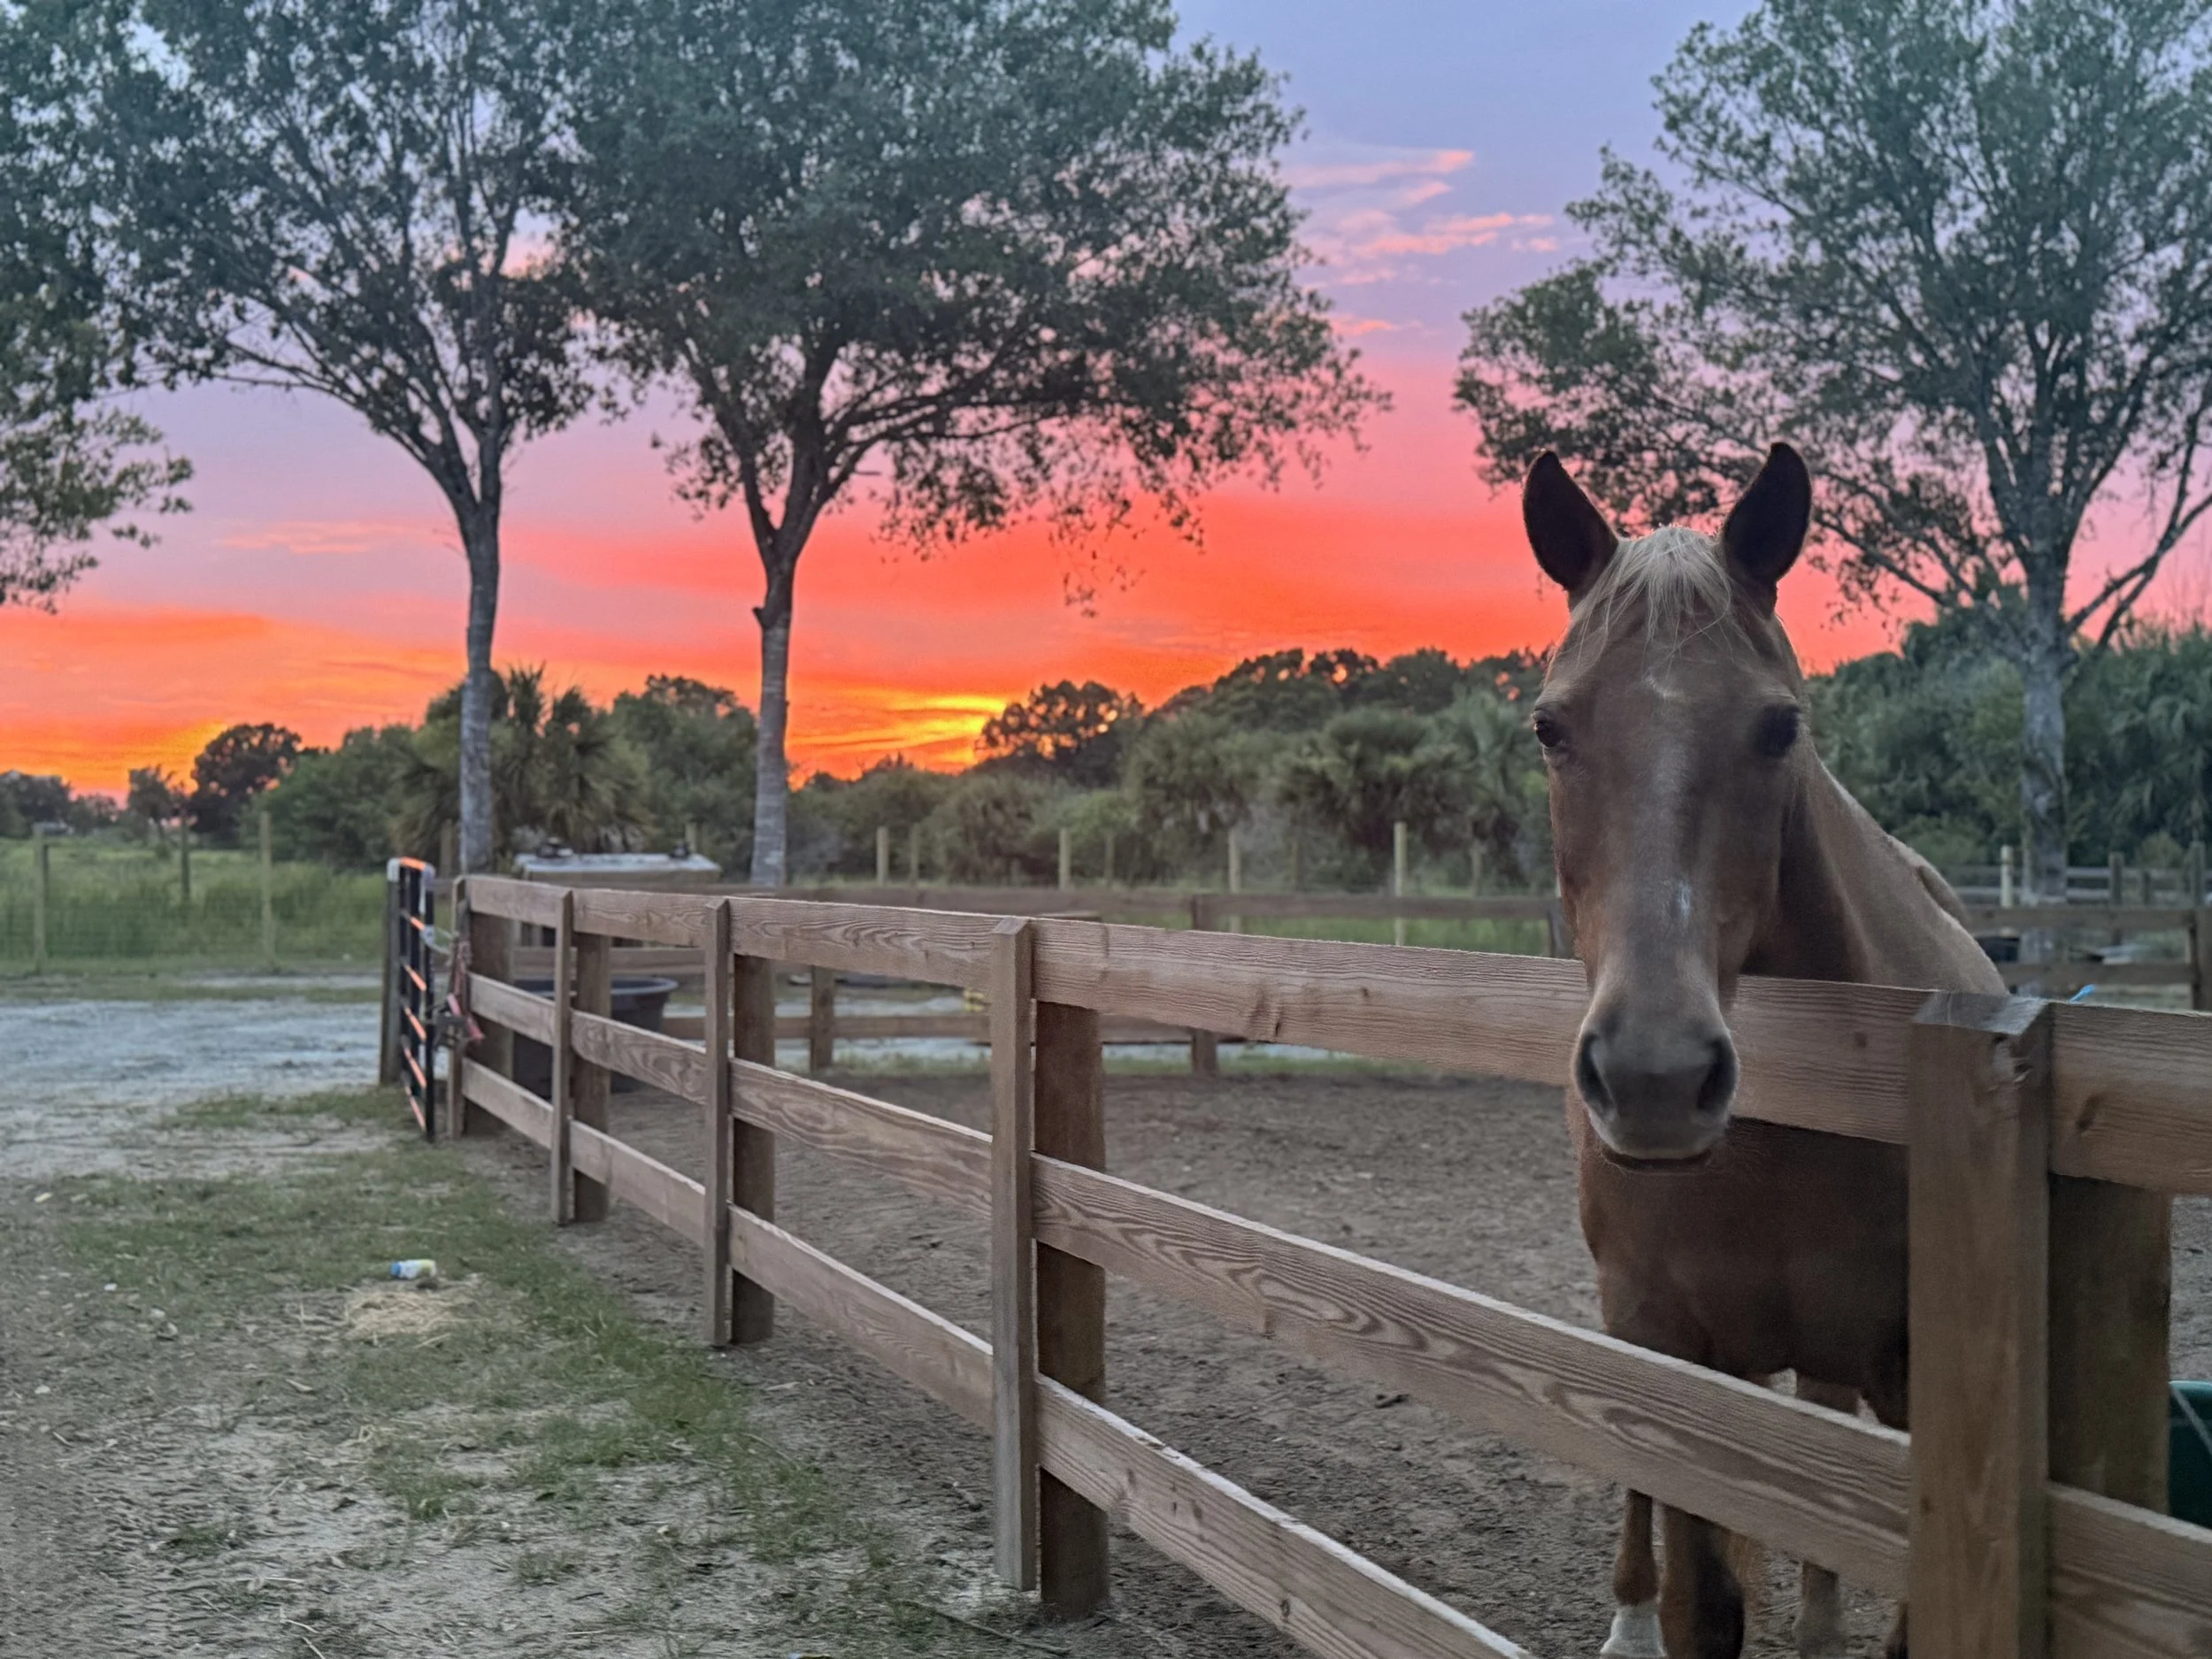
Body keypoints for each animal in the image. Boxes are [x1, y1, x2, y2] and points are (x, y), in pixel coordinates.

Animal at [1519, 443, 2005, 1659]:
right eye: (1550, 728)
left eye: (1781, 727)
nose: (1654, 1080)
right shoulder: (1675, 1353)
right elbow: (1703, 1603)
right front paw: (1653, 1615)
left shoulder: (1917, 1383)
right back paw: (1625, 1618)